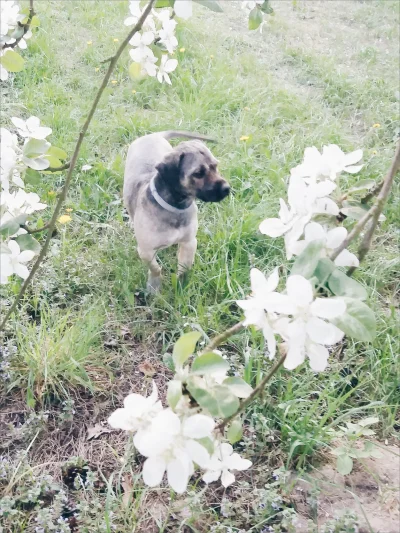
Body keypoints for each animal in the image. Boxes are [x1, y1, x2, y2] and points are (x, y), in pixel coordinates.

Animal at [122, 132, 230, 290]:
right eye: (198, 173)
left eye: (216, 166)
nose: (227, 188)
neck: (176, 207)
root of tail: (152, 135)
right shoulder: (145, 251)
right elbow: (156, 268)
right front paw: (154, 285)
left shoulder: (189, 242)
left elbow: (184, 269)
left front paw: (181, 287)